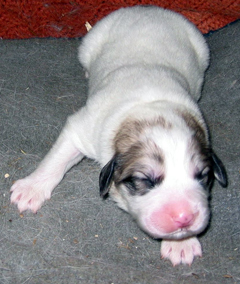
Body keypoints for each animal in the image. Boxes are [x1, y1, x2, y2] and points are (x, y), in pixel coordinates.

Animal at [10, 5, 227, 266]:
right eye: (146, 180)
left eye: (203, 176)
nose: (184, 217)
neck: (151, 108)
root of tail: (146, 8)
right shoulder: (81, 128)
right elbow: (56, 160)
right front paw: (30, 189)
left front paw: (181, 243)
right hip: (92, 41)